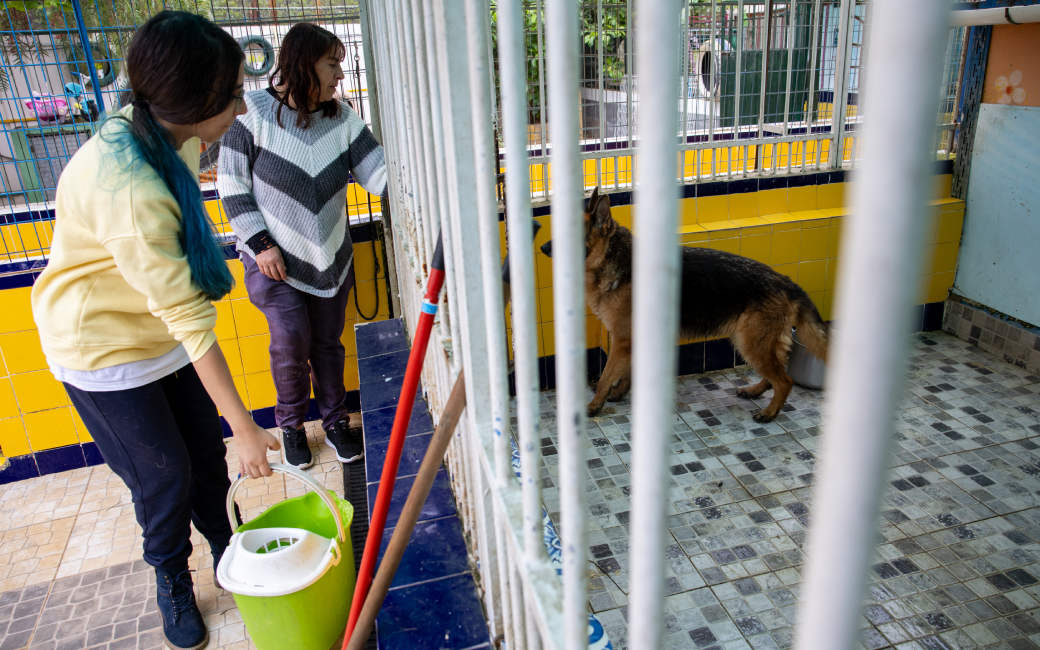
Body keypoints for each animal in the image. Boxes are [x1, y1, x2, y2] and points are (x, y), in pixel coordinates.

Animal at [544, 186, 827, 420]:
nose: (543, 248)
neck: (614, 260)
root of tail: (784, 281)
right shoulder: (633, 340)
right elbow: (628, 371)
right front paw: (622, 392)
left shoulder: (622, 341)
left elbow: (605, 378)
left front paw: (594, 406)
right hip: (753, 343)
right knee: (775, 376)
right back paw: (756, 392)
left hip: (752, 344)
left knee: (785, 381)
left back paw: (769, 413)